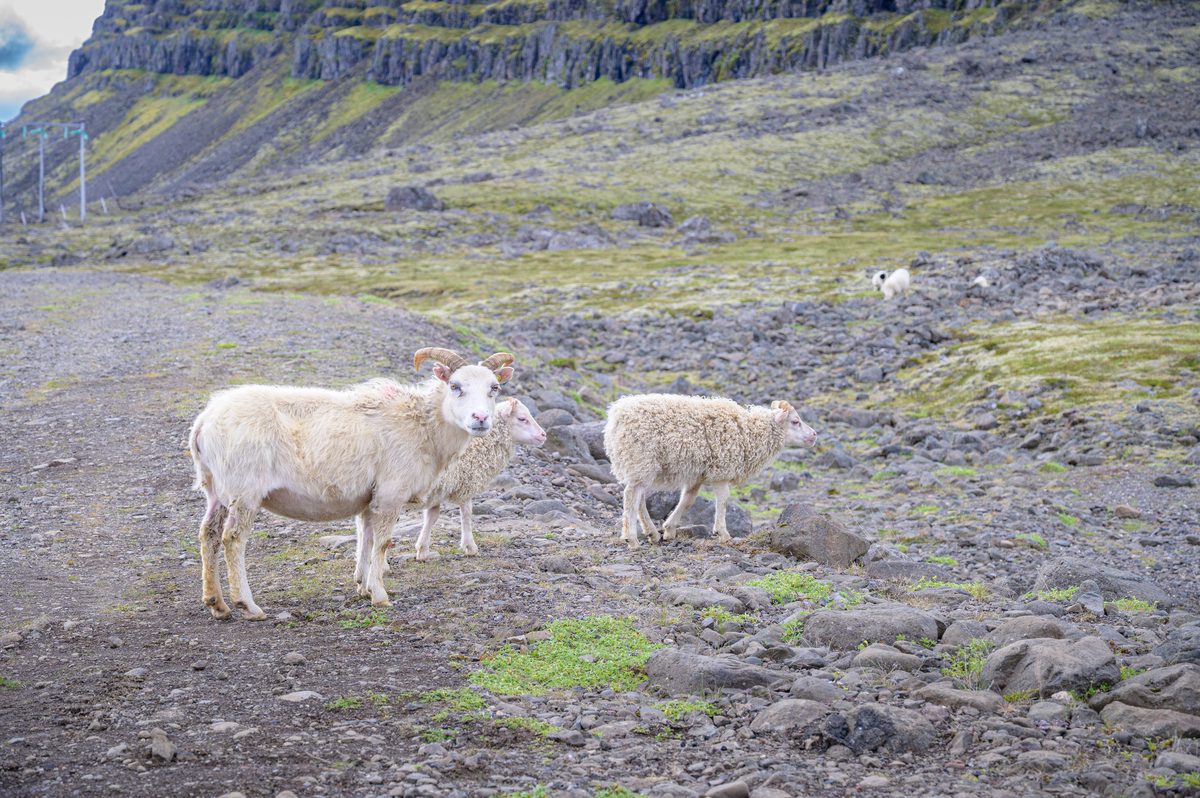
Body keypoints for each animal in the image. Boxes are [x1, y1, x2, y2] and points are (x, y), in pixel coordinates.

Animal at [188, 347, 515, 618]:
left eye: (494, 388)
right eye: (455, 386)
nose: (480, 418)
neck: (424, 425)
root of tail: (204, 421)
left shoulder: (370, 498)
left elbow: (366, 541)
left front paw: (365, 588)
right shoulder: (390, 493)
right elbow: (382, 544)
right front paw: (380, 596)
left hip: (215, 489)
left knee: (209, 535)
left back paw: (216, 604)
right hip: (244, 489)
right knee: (232, 539)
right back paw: (247, 605)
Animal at [603, 394, 818, 549]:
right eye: (795, 422)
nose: (815, 435)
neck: (751, 432)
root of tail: (616, 416)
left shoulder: (698, 475)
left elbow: (688, 500)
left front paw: (669, 528)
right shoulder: (722, 471)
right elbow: (722, 502)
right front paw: (723, 534)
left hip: (640, 466)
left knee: (638, 499)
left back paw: (652, 534)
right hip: (640, 459)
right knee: (631, 497)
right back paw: (631, 539)